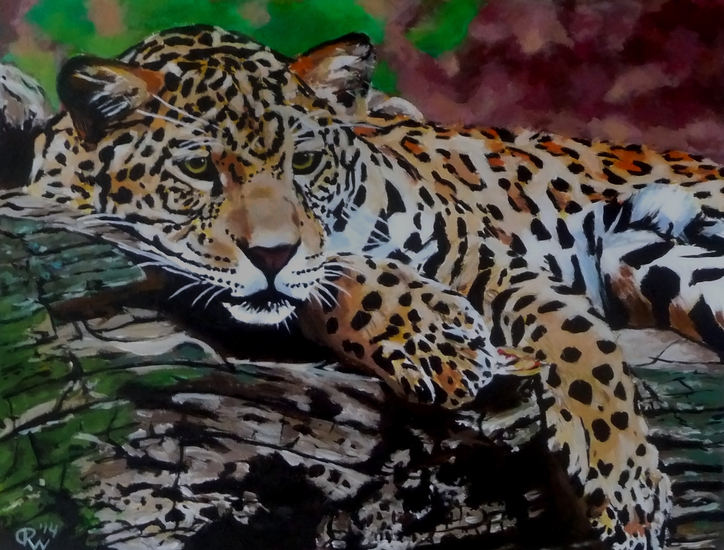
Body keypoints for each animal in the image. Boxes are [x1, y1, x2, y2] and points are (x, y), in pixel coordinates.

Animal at [2, 24, 723, 550]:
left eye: (304, 162)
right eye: (200, 168)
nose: (271, 253)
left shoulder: (479, 254)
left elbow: (572, 334)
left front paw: (621, 473)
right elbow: (339, 273)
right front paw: (439, 339)